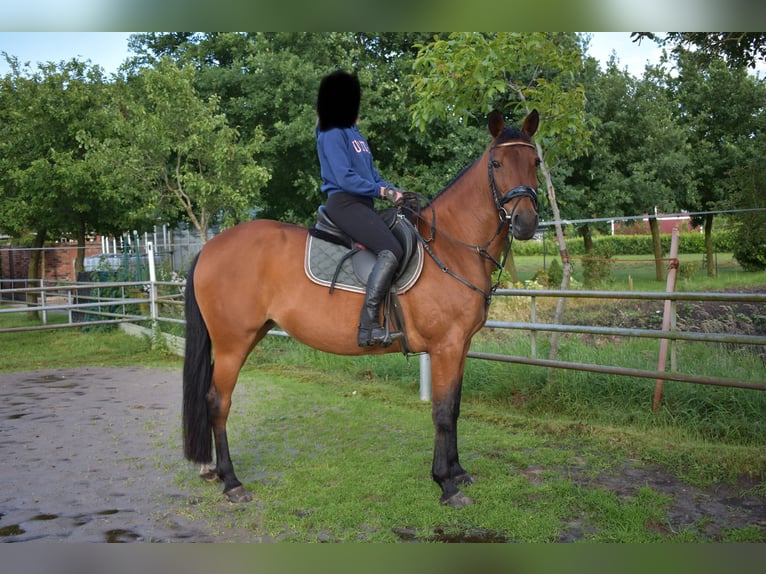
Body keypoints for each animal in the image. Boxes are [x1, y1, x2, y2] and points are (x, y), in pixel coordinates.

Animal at [183, 109, 544, 508]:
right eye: (496, 164)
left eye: (535, 163)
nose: (526, 223)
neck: (452, 246)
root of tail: (210, 248)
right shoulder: (445, 347)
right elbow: (442, 413)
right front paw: (446, 485)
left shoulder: (461, 346)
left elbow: (456, 408)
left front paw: (458, 472)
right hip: (233, 342)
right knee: (218, 402)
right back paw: (231, 481)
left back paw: (215, 471)